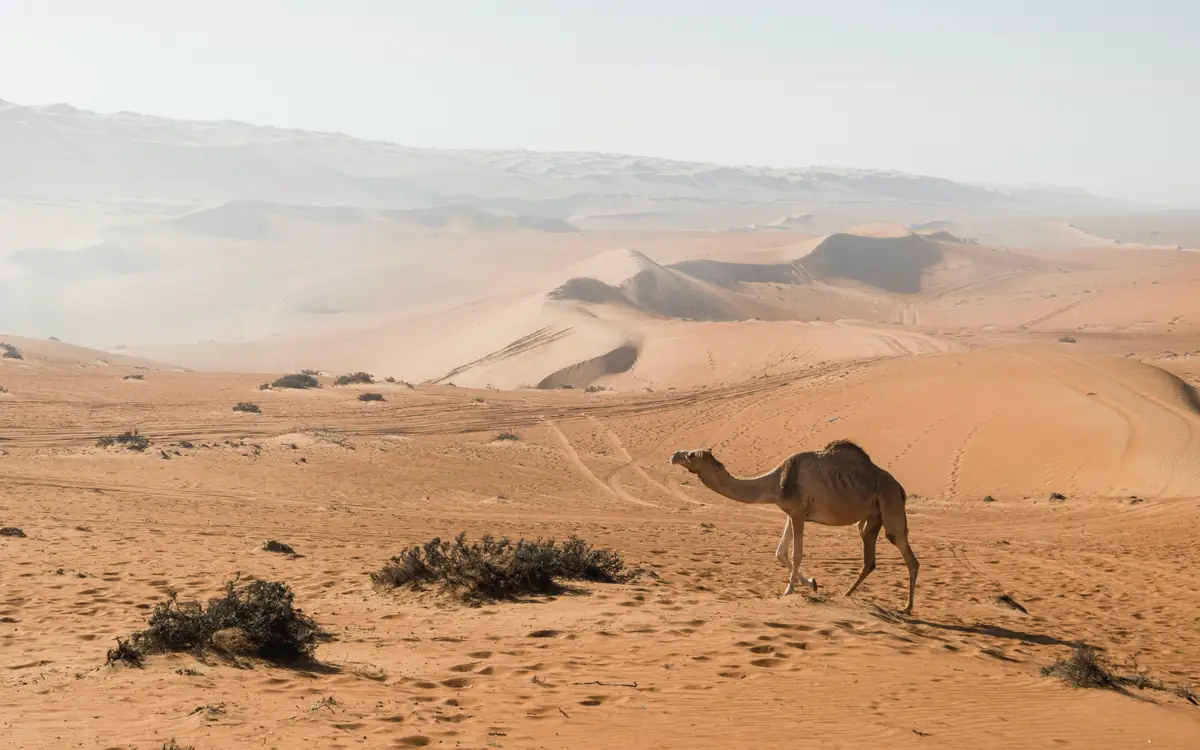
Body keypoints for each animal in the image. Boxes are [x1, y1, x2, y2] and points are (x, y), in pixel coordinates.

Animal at [668, 439, 919, 613]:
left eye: (690, 455)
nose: (673, 455)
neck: (776, 482)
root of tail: (901, 489)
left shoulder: (798, 513)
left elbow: (796, 553)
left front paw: (789, 591)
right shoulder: (791, 513)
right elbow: (780, 552)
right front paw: (813, 583)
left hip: (891, 505)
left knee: (907, 554)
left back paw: (907, 608)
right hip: (872, 517)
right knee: (869, 558)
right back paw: (847, 594)